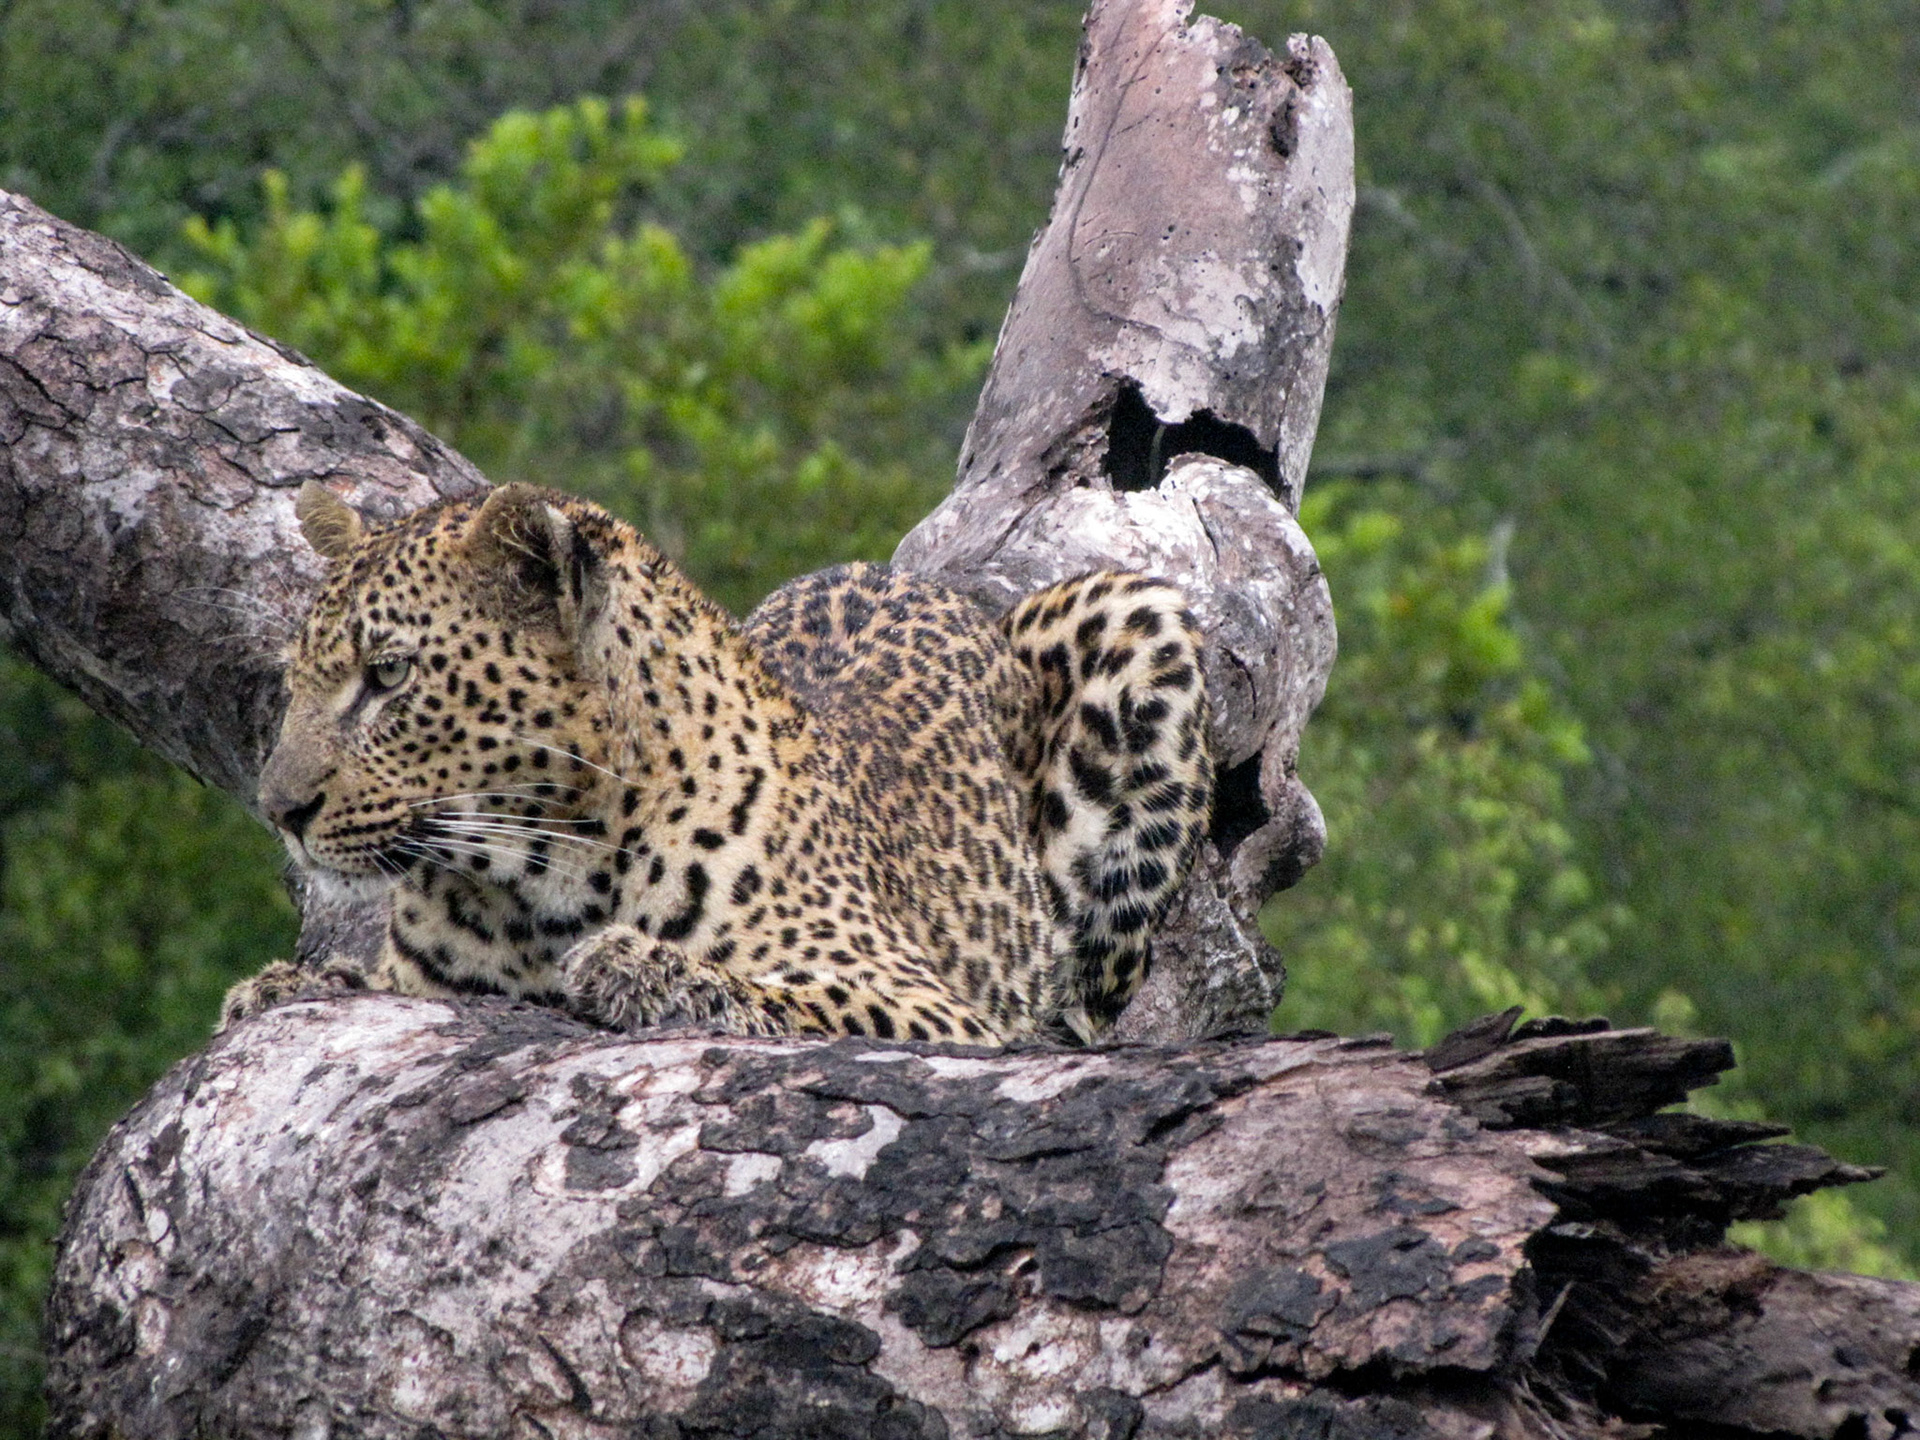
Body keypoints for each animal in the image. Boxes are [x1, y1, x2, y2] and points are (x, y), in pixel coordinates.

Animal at [224, 480, 1213, 1045]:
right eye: (297, 680)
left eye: (389, 675)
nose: (278, 811)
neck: (532, 882)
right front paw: (284, 985)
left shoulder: (925, 1001)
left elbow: (783, 996)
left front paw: (635, 968)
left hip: (1135, 616)